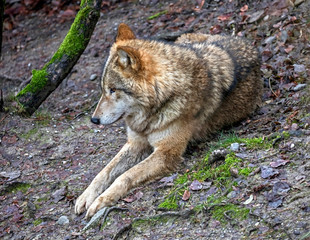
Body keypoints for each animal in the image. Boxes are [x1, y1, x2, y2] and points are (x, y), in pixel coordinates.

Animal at [74, 23, 262, 218]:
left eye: (113, 90)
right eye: (103, 89)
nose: (94, 120)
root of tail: (240, 37)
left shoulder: (166, 153)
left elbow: (125, 175)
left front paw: (101, 200)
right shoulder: (136, 143)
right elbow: (104, 172)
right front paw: (86, 197)